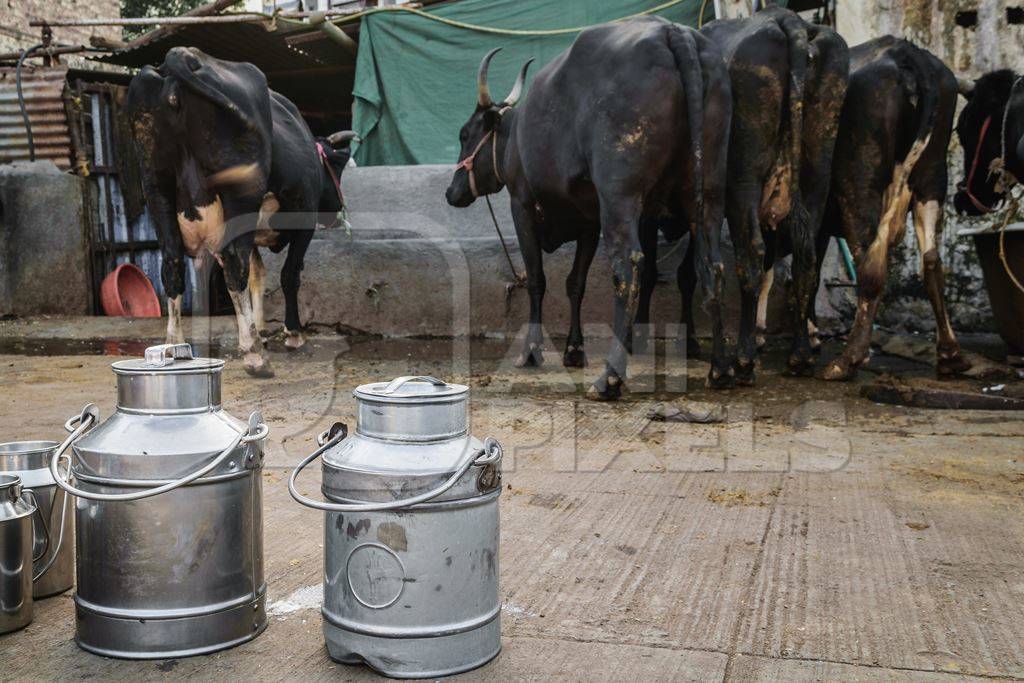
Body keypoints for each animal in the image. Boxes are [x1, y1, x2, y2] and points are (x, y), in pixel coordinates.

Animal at [126, 48, 358, 376]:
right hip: (239, 198)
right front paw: (292, 333)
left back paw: (174, 346)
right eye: (338, 168)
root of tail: (182, 57)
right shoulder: (303, 222)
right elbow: (288, 275)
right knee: (235, 267)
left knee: (172, 266)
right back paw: (254, 356)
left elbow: (258, 276)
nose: (337, 209)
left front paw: (260, 328)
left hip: (157, 191)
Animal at [444, 15, 733, 397]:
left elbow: (537, 279)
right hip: (708, 194)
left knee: (628, 267)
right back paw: (720, 369)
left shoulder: (522, 206)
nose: (451, 191)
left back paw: (610, 377)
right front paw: (573, 348)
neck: (516, 137)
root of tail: (673, 31)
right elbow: (575, 283)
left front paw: (532, 351)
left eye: (465, 134)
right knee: (712, 264)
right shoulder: (588, 224)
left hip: (619, 198)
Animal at [815, 37, 966, 382]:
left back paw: (848, 360)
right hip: (932, 175)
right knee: (932, 261)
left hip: (859, 178)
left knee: (871, 267)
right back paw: (950, 355)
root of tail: (903, 51)